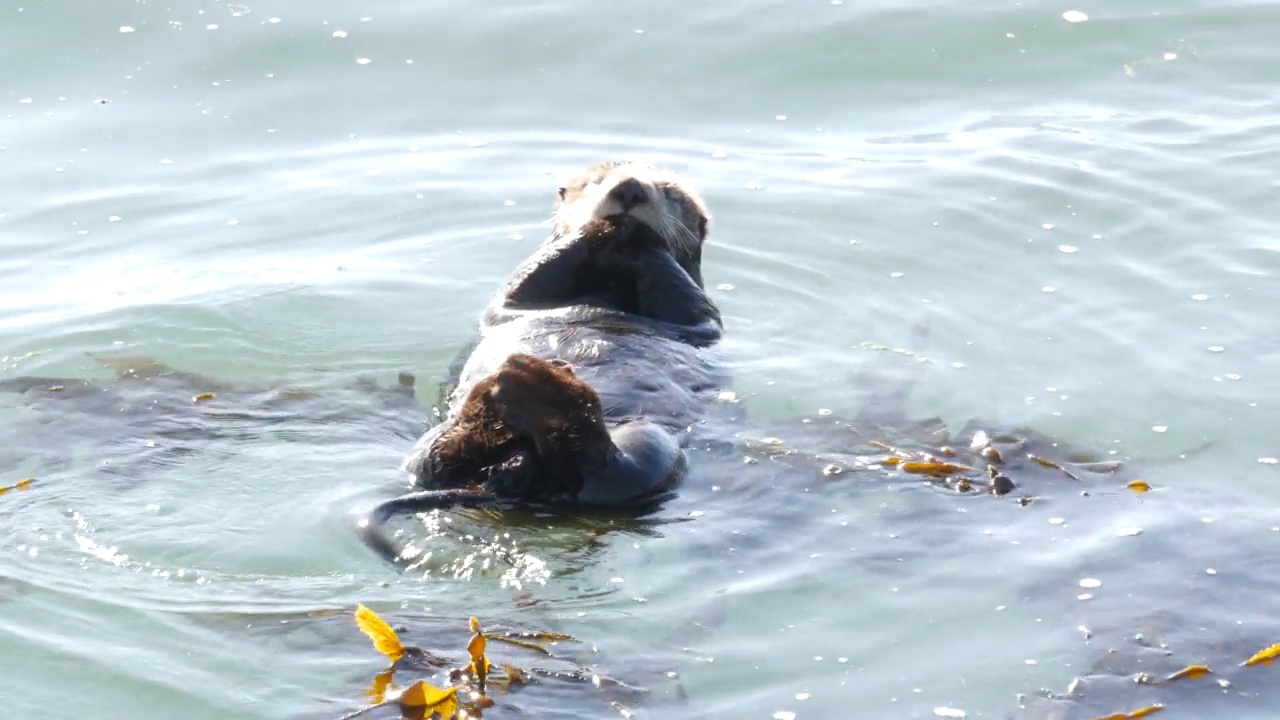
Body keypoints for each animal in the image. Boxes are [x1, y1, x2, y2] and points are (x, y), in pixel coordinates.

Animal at [355, 161, 727, 561]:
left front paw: (634, 234)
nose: (629, 189)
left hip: (652, 442)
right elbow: (526, 280)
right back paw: (497, 398)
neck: (606, 285)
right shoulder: (515, 299)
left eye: (671, 193)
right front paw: (595, 229)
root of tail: (514, 468)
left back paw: (544, 392)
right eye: (595, 182)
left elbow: (687, 301)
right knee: (434, 462)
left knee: (611, 474)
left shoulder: (698, 317)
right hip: (432, 446)